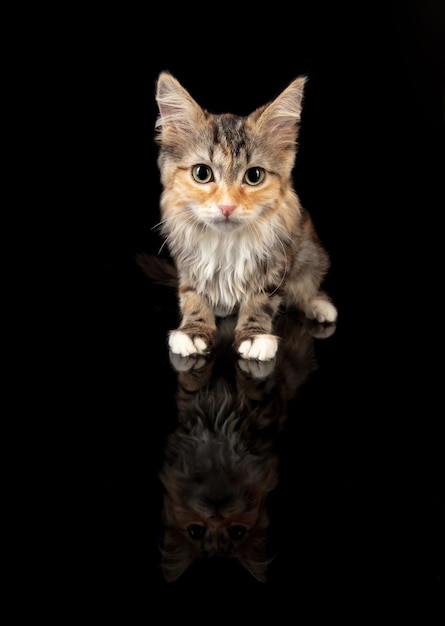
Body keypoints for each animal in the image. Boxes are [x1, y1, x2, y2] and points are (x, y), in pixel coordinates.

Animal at [151, 70, 334, 358]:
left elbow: (261, 299)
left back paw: (320, 306)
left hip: (310, 256)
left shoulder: (276, 261)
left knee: (305, 289)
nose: (227, 207)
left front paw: (254, 336)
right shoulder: (189, 261)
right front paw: (193, 330)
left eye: (254, 176)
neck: (225, 241)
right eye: (202, 173)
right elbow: (193, 295)